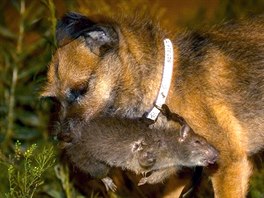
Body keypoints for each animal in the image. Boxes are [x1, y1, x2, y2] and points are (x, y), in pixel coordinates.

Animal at [41, 12, 264, 198]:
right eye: (54, 100)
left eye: (82, 89)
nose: (62, 138)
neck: (164, 86)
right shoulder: (180, 166)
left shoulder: (228, 164)